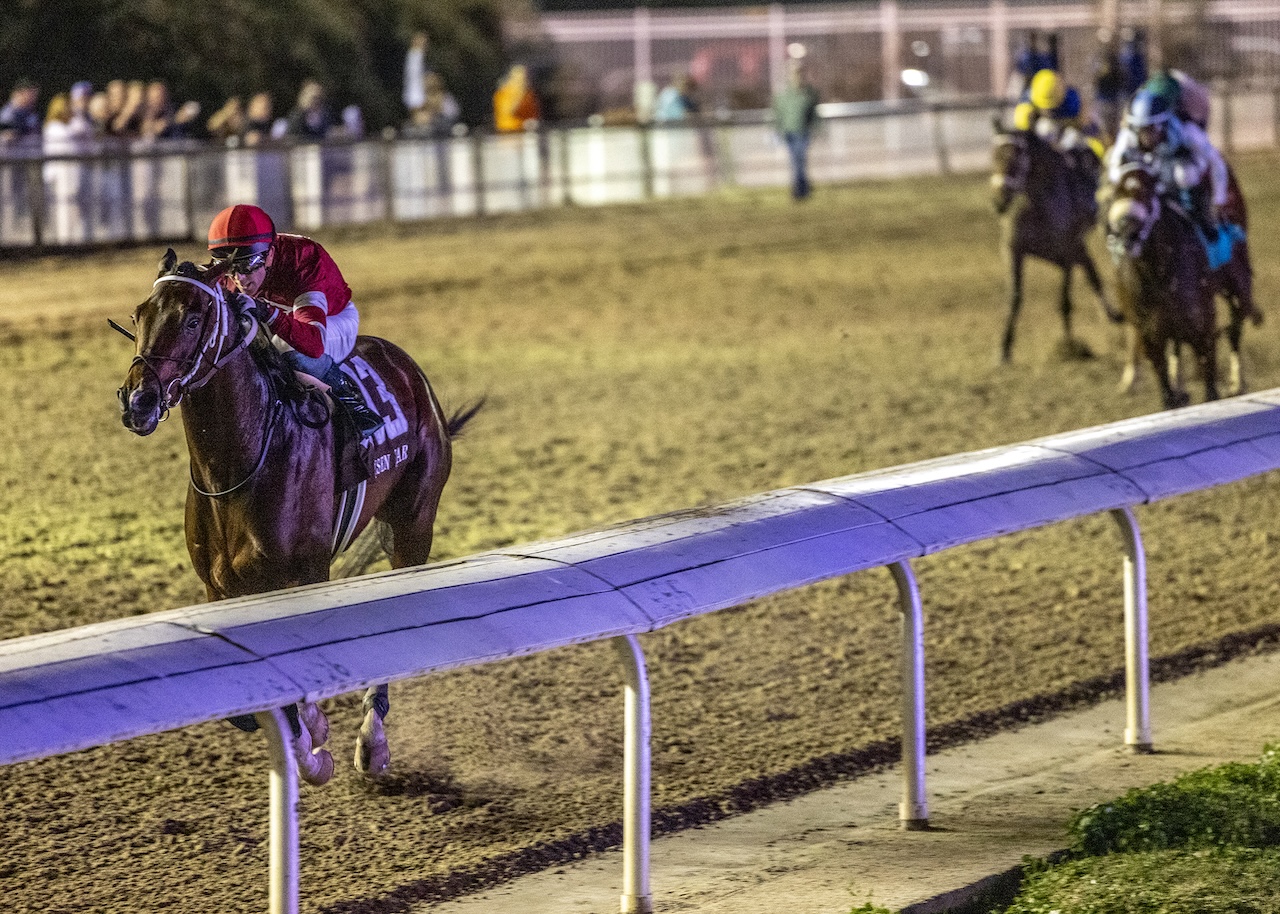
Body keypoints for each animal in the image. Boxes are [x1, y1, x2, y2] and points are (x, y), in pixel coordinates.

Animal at [113, 249, 476, 783]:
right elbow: (249, 709)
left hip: (413, 523)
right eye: (139, 315)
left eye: (194, 319)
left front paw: (315, 749)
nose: (138, 400)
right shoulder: (218, 588)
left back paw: (373, 741)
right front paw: (309, 734)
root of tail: (407, 367)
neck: (236, 467)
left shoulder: (305, 575)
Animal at [983, 119, 1116, 360]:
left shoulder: (1067, 252)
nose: (998, 201)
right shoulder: (1013, 250)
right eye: (994, 155)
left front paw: (1069, 347)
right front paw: (1004, 348)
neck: (1037, 203)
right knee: (1090, 270)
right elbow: (1014, 298)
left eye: (1018, 156)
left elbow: (1064, 301)